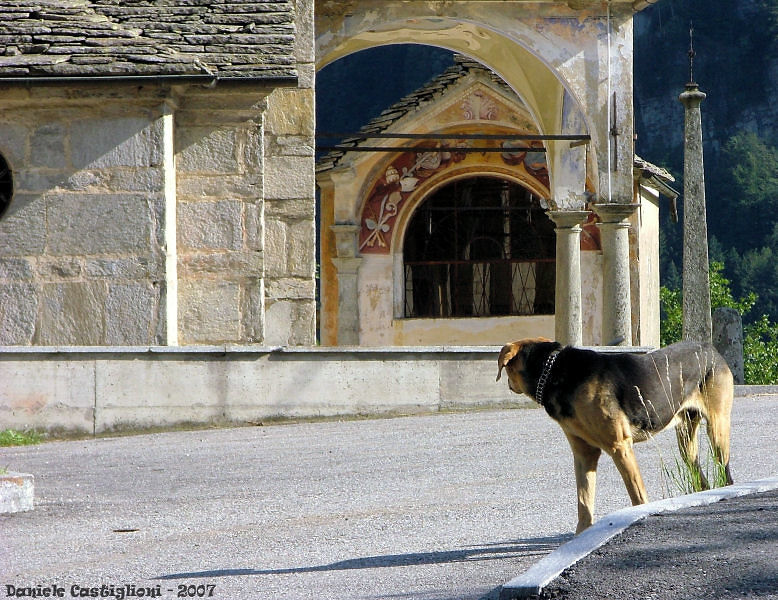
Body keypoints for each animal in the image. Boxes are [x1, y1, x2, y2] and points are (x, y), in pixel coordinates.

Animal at [498, 338, 732, 536]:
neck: (554, 371)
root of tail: (710, 348)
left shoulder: (620, 447)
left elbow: (637, 495)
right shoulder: (584, 454)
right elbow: (584, 503)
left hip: (717, 429)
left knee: (725, 473)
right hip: (686, 440)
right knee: (701, 478)